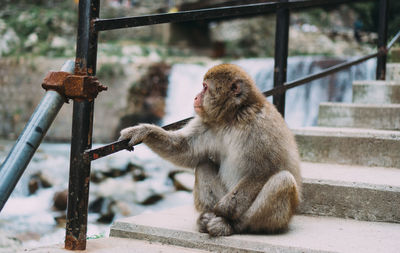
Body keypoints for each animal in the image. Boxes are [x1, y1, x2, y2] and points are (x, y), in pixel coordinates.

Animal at [120, 63, 302, 237]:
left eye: (205, 87)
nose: (195, 96)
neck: (233, 117)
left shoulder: (262, 127)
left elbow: (265, 170)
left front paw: (224, 208)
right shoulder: (207, 124)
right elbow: (183, 149)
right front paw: (144, 131)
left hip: (279, 218)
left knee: (283, 180)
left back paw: (231, 224)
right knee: (203, 164)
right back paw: (206, 217)